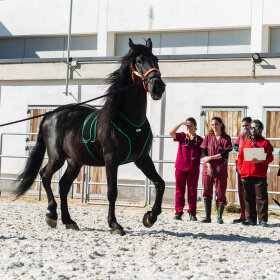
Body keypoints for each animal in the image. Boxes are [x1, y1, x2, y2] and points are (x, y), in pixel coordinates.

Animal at [14, 38, 165, 236]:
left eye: (156, 59)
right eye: (139, 61)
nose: (158, 86)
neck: (131, 123)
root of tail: (50, 115)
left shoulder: (142, 159)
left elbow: (160, 183)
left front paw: (150, 217)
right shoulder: (111, 160)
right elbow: (112, 192)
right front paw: (114, 224)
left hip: (74, 162)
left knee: (63, 185)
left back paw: (68, 221)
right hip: (57, 157)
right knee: (45, 175)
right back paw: (52, 215)